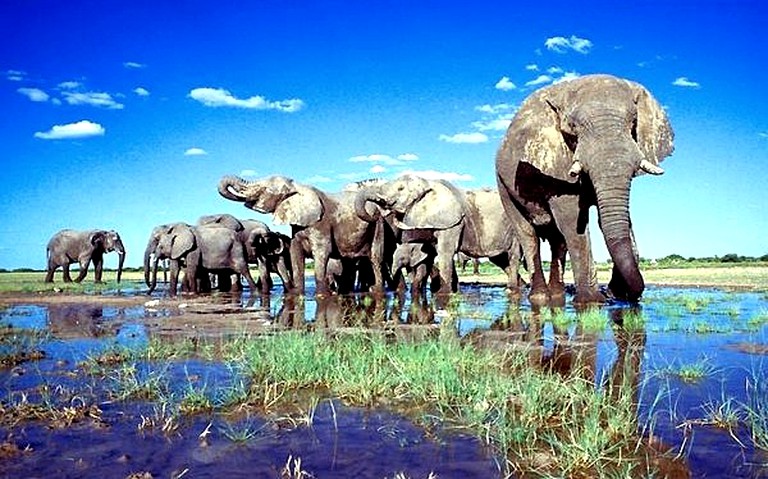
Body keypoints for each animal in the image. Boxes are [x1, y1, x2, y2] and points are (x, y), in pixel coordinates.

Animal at [216, 176, 396, 296]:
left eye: (265, 189)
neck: (298, 187)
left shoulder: (321, 223)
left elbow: (322, 253)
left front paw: (321, 296)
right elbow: (295, 255)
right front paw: (299, 294)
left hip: (378, 226)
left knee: (375, 259)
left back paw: (376, 290)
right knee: (349, 263)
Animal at [356, 176, 524, 296]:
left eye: (400, 188)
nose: (376, 212)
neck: (426, 182)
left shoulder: (452, 223)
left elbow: (445, 253)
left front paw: (443, 294)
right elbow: (431, 253)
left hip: (515, 226)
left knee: (513, 256)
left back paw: (511, 290)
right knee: (500, 259)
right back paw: (519, 286)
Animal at [498, 74, 672, 304]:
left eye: (634, 121)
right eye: (573, 128)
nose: (612, 293)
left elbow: (615, 219)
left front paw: (615, 295)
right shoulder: (556, 167)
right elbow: (572, 222)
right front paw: (591, 301)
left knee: (557, 241)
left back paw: (558, 295)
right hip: (503, 187)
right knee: (528, 236)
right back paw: (540, 298)